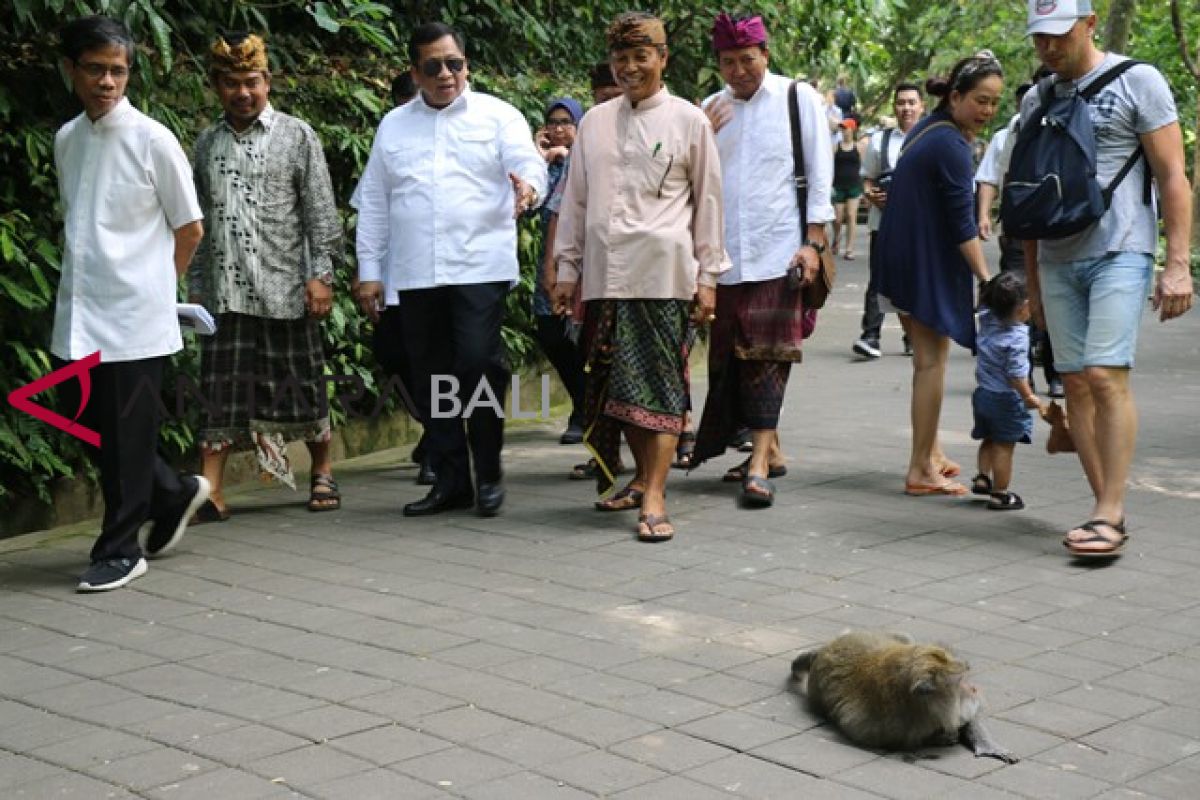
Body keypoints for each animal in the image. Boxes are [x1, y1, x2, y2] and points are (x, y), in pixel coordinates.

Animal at [792, 633, 1017, 762]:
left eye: (966, 676)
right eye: (960, 681)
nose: (974, 689)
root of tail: (823, 649)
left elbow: (968, 715)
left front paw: (988, 745)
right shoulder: (873, 726)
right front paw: (941, 737)